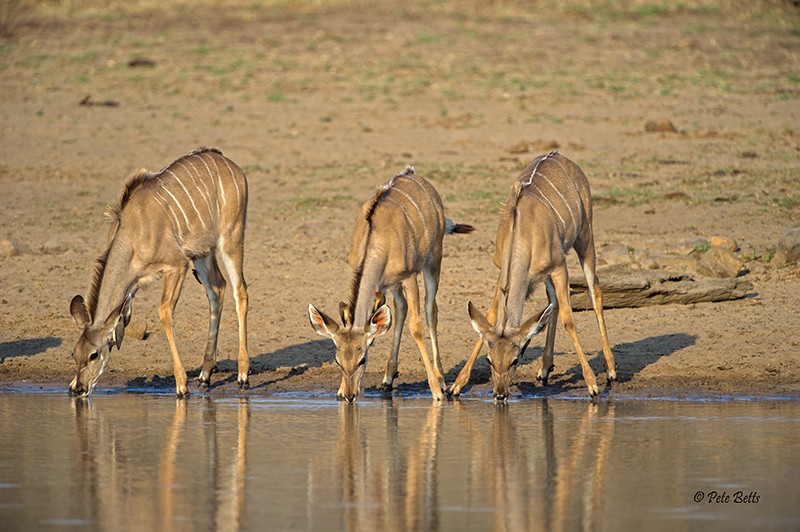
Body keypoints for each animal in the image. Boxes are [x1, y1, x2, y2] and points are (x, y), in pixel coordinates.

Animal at [69, 148, 250, 396]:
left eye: (93, 354)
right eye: (74, 354)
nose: (78, 388)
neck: (133, 233)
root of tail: (230, 164)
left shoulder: (177, 265)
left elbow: (164, 312)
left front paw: (181, 385)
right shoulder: (133, 288)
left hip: (230, 238)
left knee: (239, 290)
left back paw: (243, 375)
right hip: (202, 253)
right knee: (217, 289)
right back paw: (205, 375)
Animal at [310, 168, 472, 402]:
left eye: (363, 359)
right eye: (338, 360)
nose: (349, 395)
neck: (377, 240)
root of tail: (413, 173)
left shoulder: (409, 276)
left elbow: (416, 327)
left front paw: (436, 391)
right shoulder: (387, 283)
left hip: (433, 259)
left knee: (430, 310)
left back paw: (441, 379)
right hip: (394, 284)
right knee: (400, 308)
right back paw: (388, 377)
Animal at [450, 152, 620, 402]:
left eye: (515, 360)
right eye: (490, 360)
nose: (499, 394)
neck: (522, 233)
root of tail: (562, 157)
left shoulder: (559, 266)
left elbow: (569, 319)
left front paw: (592, 385)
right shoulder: (504, 272)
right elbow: (491, 316)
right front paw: (456, 385)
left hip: (585, 237)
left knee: (594, 290)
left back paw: (610, 370)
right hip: (548, 272)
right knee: (552, 303)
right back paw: (545, 369)